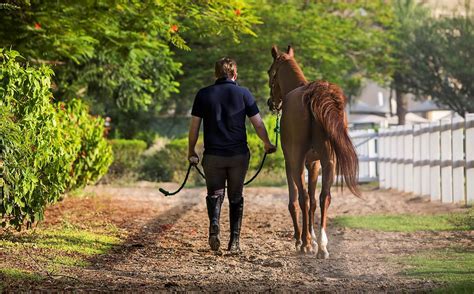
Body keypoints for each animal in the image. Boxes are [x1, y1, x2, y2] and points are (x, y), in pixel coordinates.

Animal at [266, 44, 360, 258]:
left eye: (270, 72)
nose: (271, 103)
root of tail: (314, 93)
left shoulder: (291, 162)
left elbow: (296, 201)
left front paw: (302, 239)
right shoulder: (315, 164)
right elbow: (314, 201)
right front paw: (314, 238)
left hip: (298, 162)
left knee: (303, 199)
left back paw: (306, 243)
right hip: (328, 161)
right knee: (324, 197)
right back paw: (323, 246)